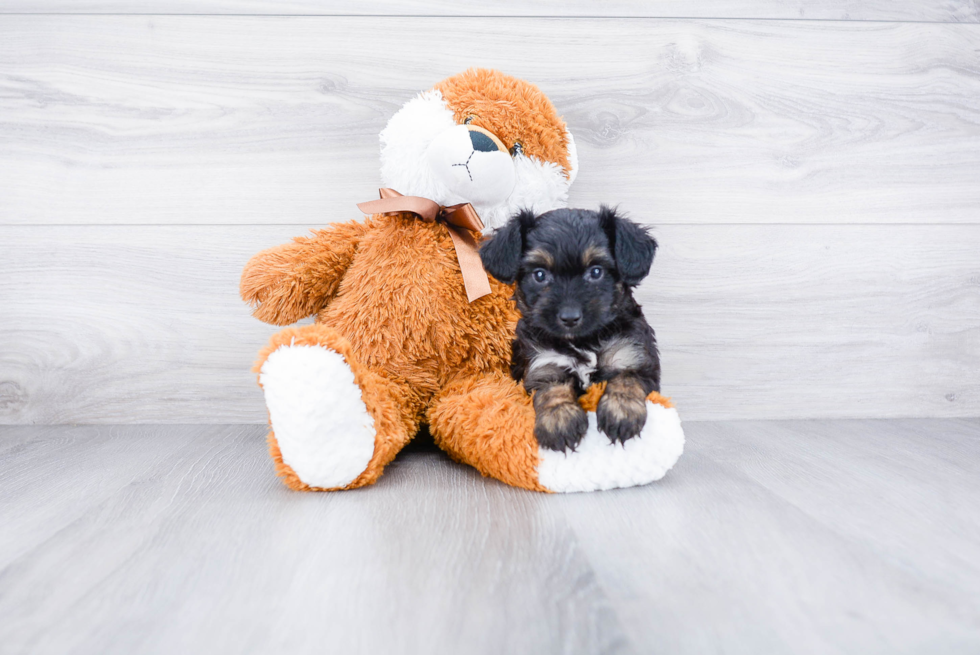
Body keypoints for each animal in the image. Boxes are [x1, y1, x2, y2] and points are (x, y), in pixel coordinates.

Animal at [480, 208, 664, 454]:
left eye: (596, 272)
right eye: (540, 275)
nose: (569, 317)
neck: (583, 341)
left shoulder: (633, 356)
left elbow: (626, 380)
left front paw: (621, 413)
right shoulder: (544, 365)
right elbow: (553, 391)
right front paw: (560, 421)